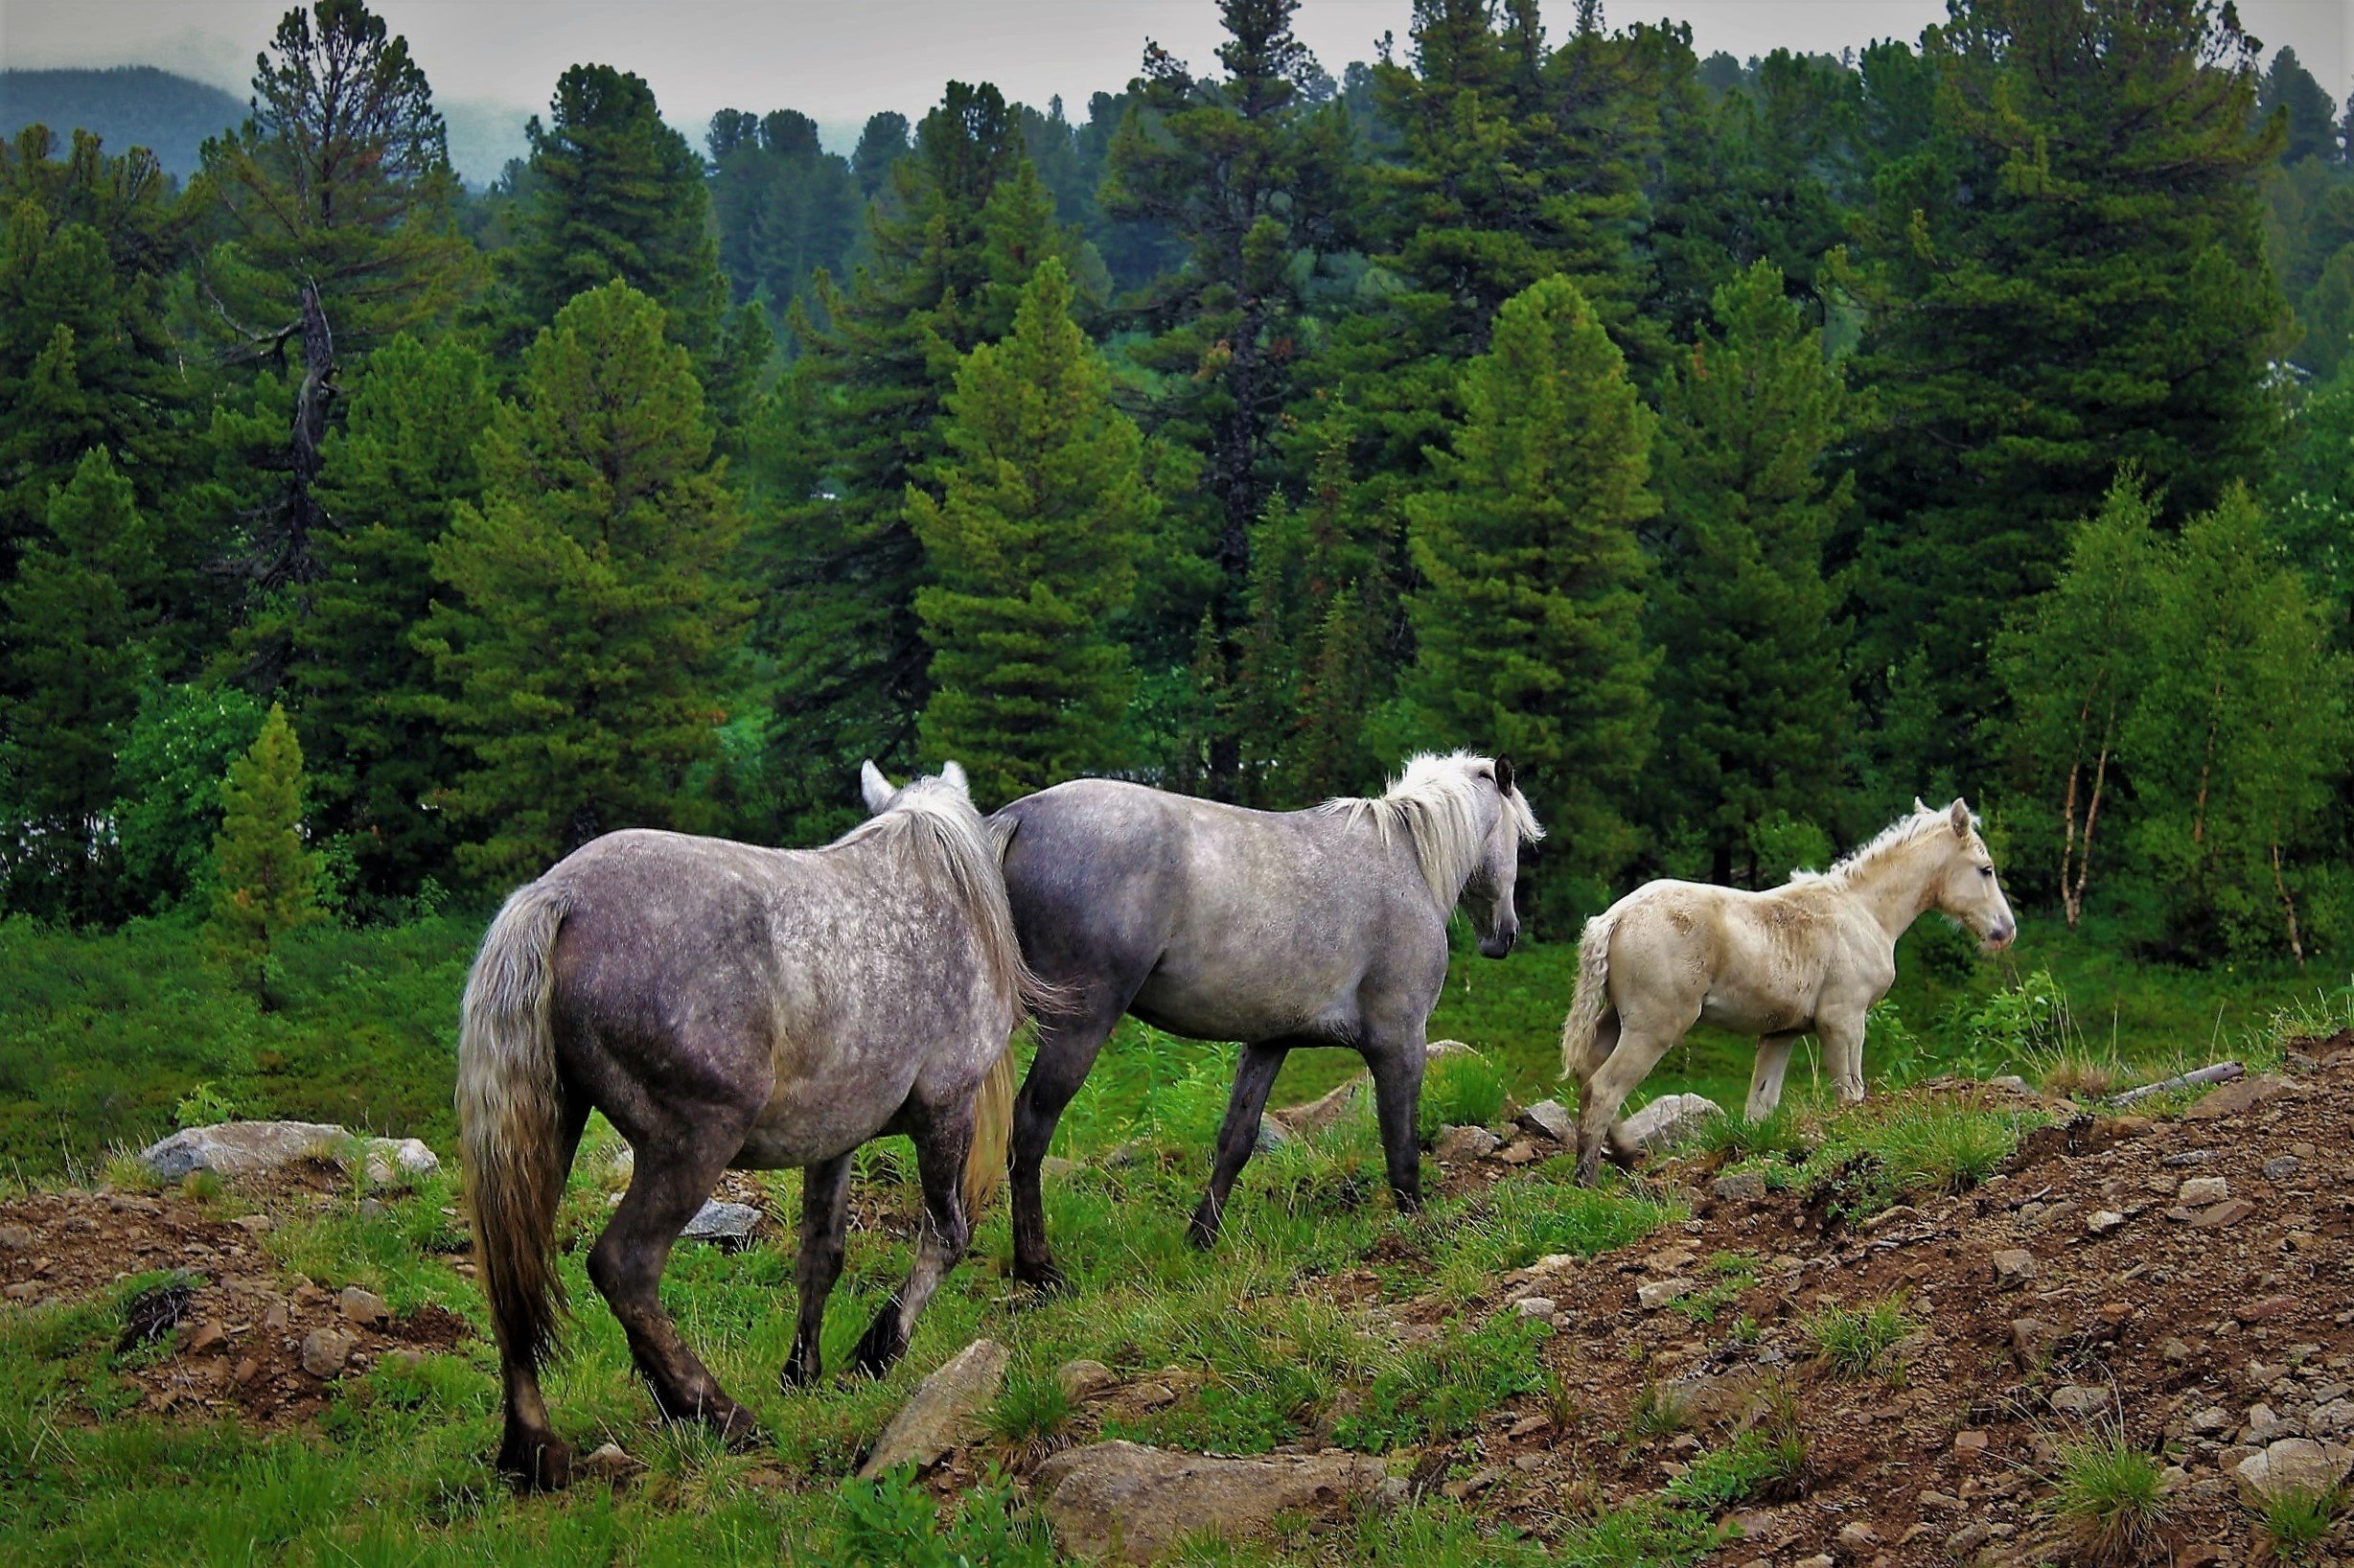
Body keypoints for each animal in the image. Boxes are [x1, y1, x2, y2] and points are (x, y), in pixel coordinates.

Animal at [456, 762, 1040, 1487]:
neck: (936, 890)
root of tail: (556, 895)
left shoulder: (835, 1142)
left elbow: (821, 1255)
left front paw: (803, 1373)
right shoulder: (946, 1111)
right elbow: (946, 1237)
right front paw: (875, 1353)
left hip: (549, 1136)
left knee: (514, 1277)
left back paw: (538, 1447)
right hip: (694, 1144)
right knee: (624, 1267)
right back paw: (717, 1410)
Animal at [993, 753, 1544, 1280]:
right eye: (1518, 837)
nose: (1505, 935)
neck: (1405, 860)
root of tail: (1019, 816)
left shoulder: (1269, 1042)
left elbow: (1237, 1140)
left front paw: (1200, 1239)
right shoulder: (1400, 1039)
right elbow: (1401, 1141)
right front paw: (1415, 1225)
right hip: (1078, 1026)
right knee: (1030, 1128)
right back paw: (1038, 1268)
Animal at [1572, 800, 2015, 1177]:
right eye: (1985, 868)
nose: (2005, 931)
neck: (1865, 912)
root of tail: (1613, 918)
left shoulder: (1780, 1032)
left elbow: (1760, 1107)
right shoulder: (1844, 1020)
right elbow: (1850, 1093)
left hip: (1618, 1019)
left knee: (1588, 1071)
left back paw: (1625, 1154)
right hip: (1655, 1025)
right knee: (1603, 1090)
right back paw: (1589, 1180)